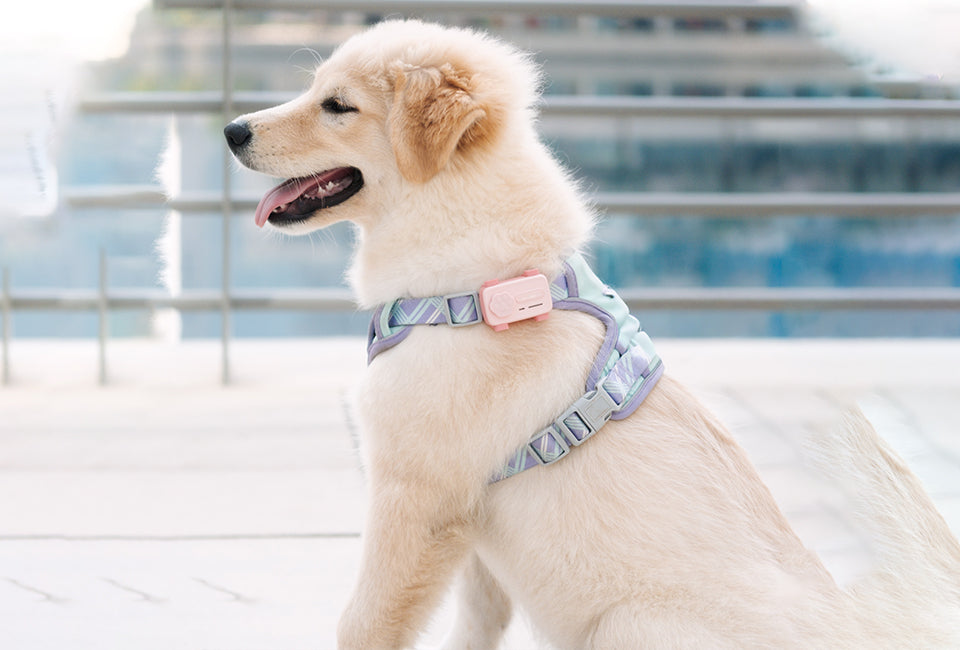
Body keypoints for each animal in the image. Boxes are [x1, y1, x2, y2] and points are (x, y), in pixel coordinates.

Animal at [224, 20, 960, 649]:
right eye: (316, 90)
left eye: (338, 106)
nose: (231, 130)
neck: (469, 284)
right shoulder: (474, 518)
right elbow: (478, 622)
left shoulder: (414, 499)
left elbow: (364, 622)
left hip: (627, 624)